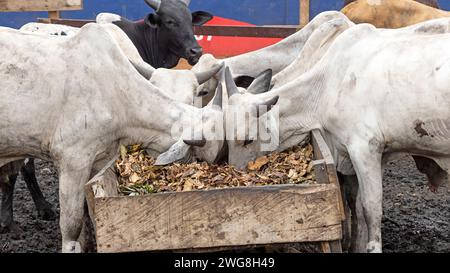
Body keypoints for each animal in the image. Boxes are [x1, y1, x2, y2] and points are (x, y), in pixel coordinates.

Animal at [0, 23, 225, 251]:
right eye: (201, 156)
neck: (116, 92)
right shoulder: (72, 161)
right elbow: (72, 225)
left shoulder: (99, 161)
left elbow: (90, 212)